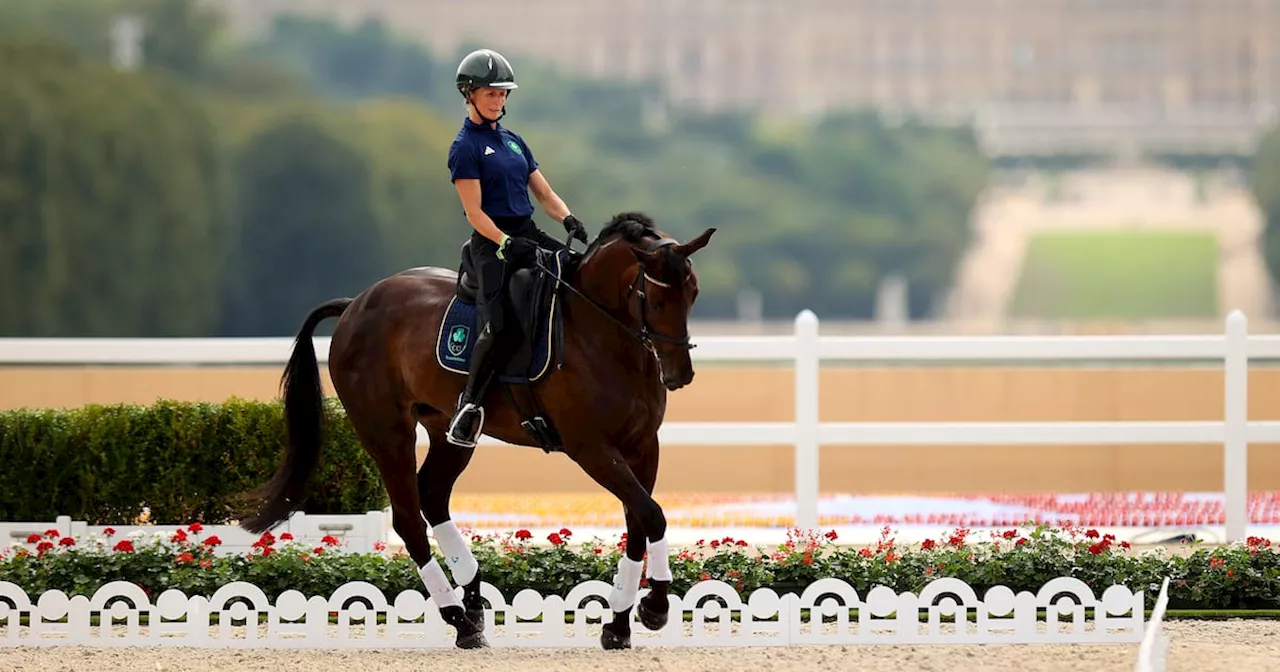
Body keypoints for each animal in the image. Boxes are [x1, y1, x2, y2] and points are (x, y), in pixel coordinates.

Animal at [236, 211, 716, 650]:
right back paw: (459, 619)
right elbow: (652, 515)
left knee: (432, 495)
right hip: (387, 432)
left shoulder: (642, 445)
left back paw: (471, 599)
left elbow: (639, 522)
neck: (603, 334)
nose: (680, 375)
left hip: (448, 431)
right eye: (657, 302)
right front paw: (655, 606)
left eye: (694, 293)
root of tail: (355, 303)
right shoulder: (591, 448)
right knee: (409, 519)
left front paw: (618, 625)